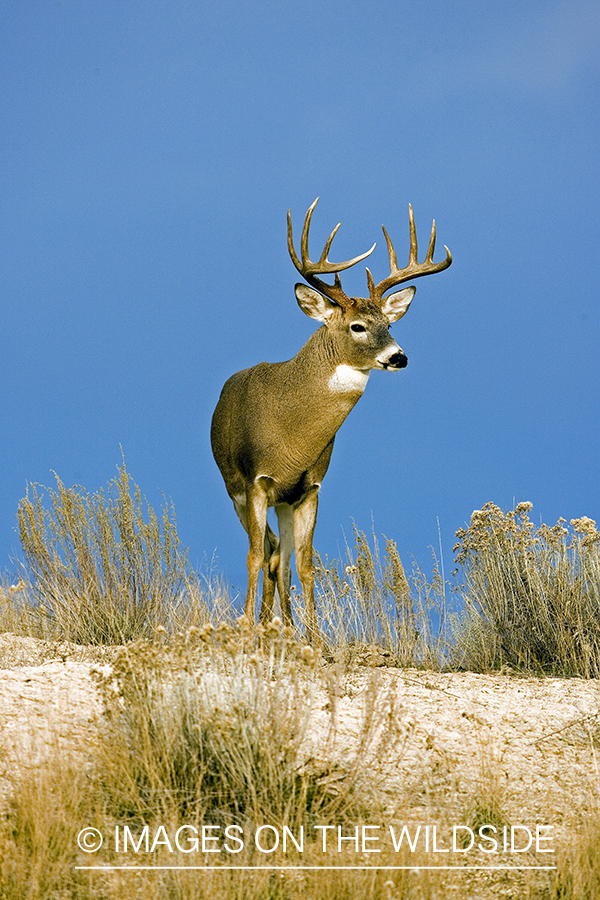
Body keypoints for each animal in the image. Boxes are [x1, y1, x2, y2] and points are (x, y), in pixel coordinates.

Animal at [211, 200, 450, 644]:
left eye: (389, 324)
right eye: (357, 326)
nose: (399, 357)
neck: (293, 434)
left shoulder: (309, 487)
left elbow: (305, 564)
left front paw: (314, 638)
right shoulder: (255, 482)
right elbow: (253, 556)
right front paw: (246, 628)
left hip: (283, 502)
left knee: (280, 556)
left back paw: (282, 625)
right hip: (235, 487)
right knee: (265, 550)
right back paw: (262, 622)